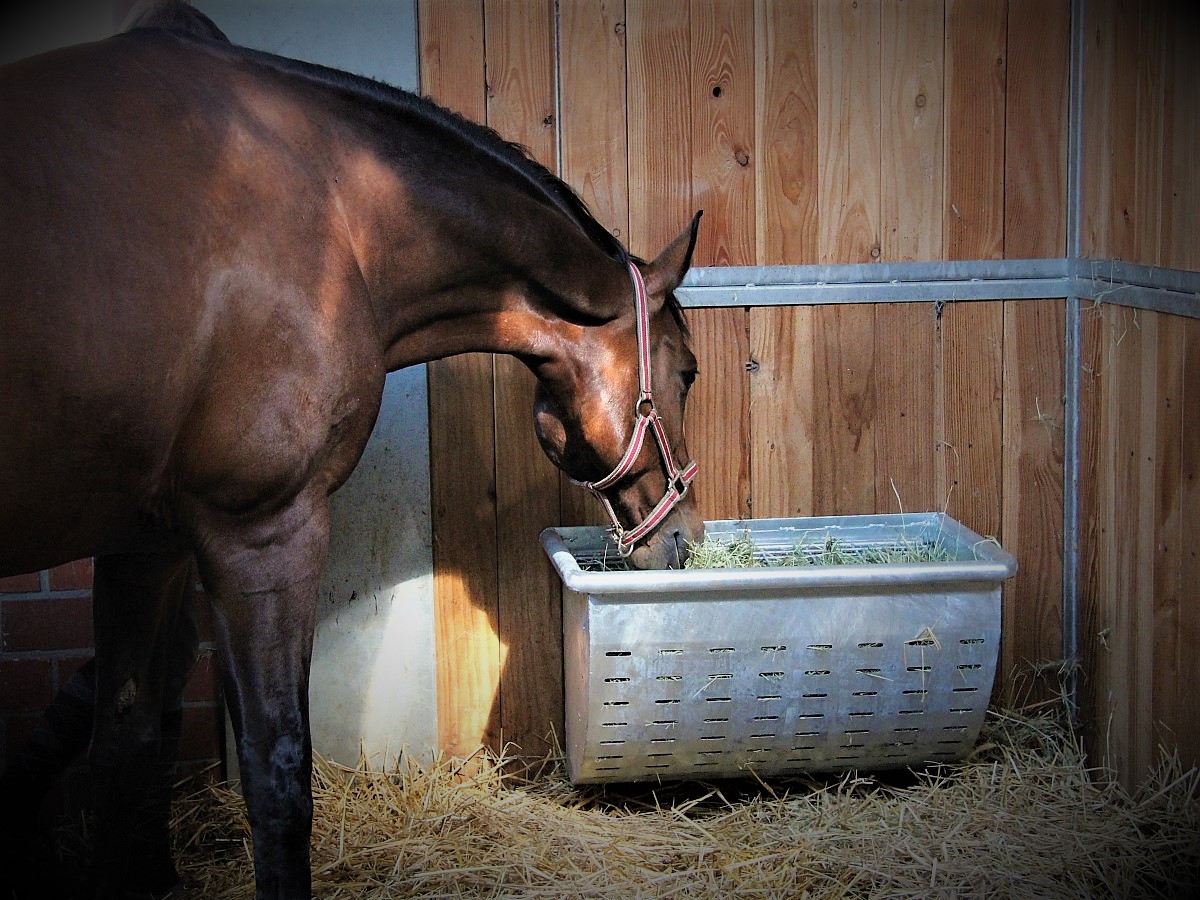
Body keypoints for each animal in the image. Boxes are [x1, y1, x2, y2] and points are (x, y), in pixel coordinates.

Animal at [0, 6, 704, 897]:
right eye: (687, 371)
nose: (686, 539)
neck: (339, 214)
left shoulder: (144, 547)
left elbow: (126, 744)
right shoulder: (264, 533)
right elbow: (278, 775)